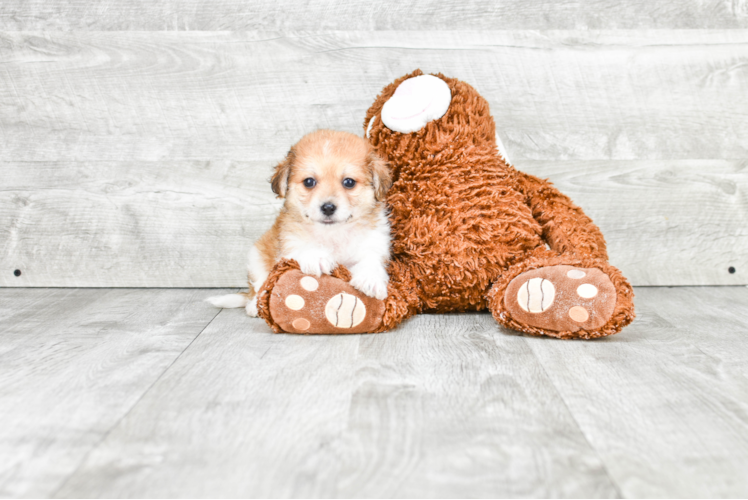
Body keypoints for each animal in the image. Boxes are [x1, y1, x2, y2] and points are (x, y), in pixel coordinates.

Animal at [205, 129, 392, 316]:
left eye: (349, 182)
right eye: (309, 182)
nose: (328, 208)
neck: (332, 233)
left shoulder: (374, 245)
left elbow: (371, 260)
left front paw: (370, 278)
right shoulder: (288, 247)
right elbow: (302, 248)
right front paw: (316, 256)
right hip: (256, 256)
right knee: (258, 286)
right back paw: (254, 306)